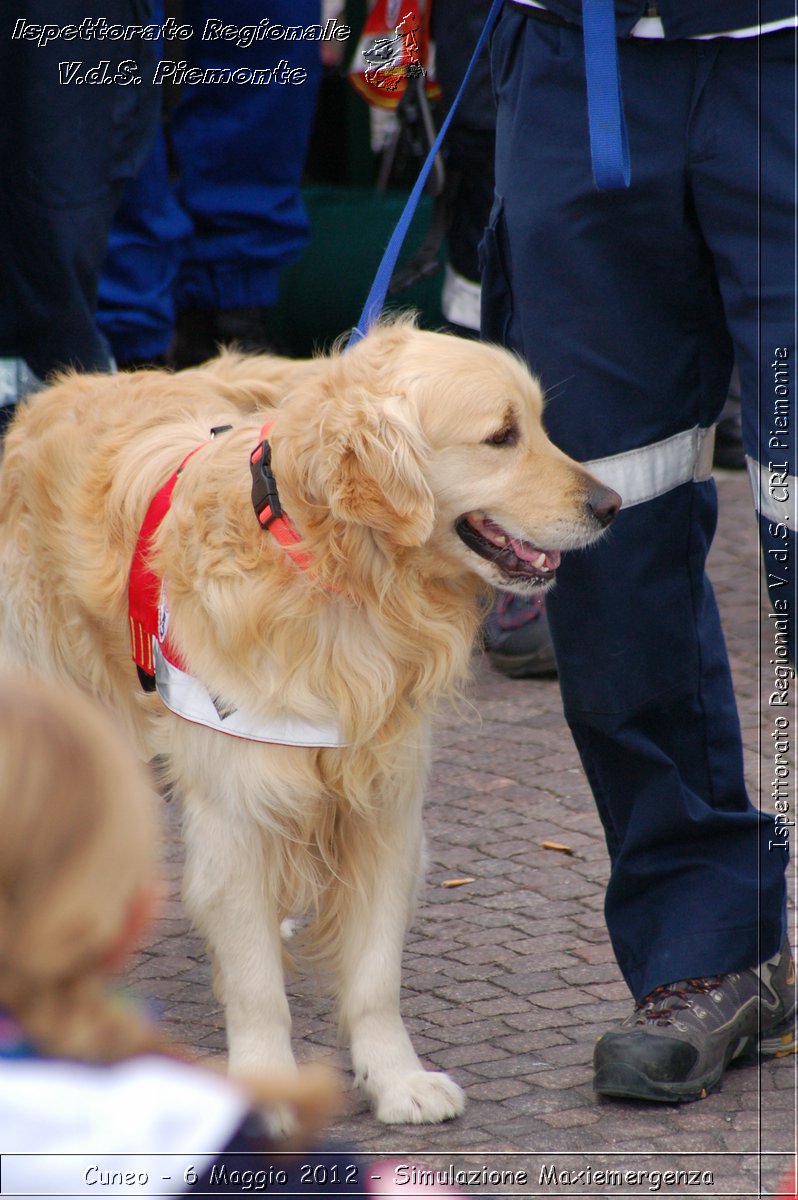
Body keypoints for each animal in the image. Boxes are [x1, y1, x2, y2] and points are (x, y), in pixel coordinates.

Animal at [0, 319, 619, 1123]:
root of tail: (51, 393)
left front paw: (397, 1079)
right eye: (501, 436)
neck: (340, 578)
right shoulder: (236, 813)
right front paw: (266, 1087)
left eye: (541, 425)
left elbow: (375, 977)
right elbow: (260, 990)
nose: (613, 504)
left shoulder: (386, 803)